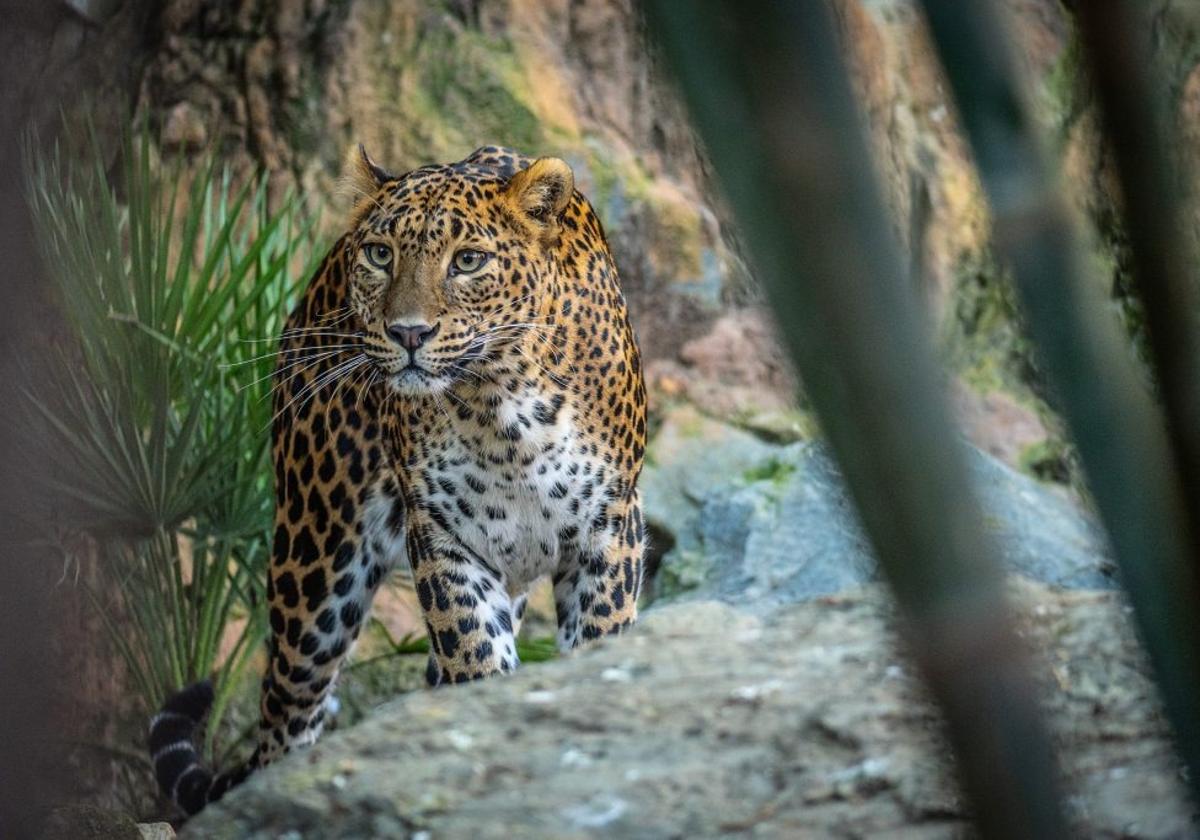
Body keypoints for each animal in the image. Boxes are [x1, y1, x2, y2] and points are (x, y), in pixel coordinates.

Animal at [148, 147, 648, 816]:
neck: (503, 409)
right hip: (316, 564)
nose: (408, 333)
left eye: (468, 261)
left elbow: (596, 642)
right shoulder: (444, 538)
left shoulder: (610, 528)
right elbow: (475, 657)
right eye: (381, 254)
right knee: (285, 717)